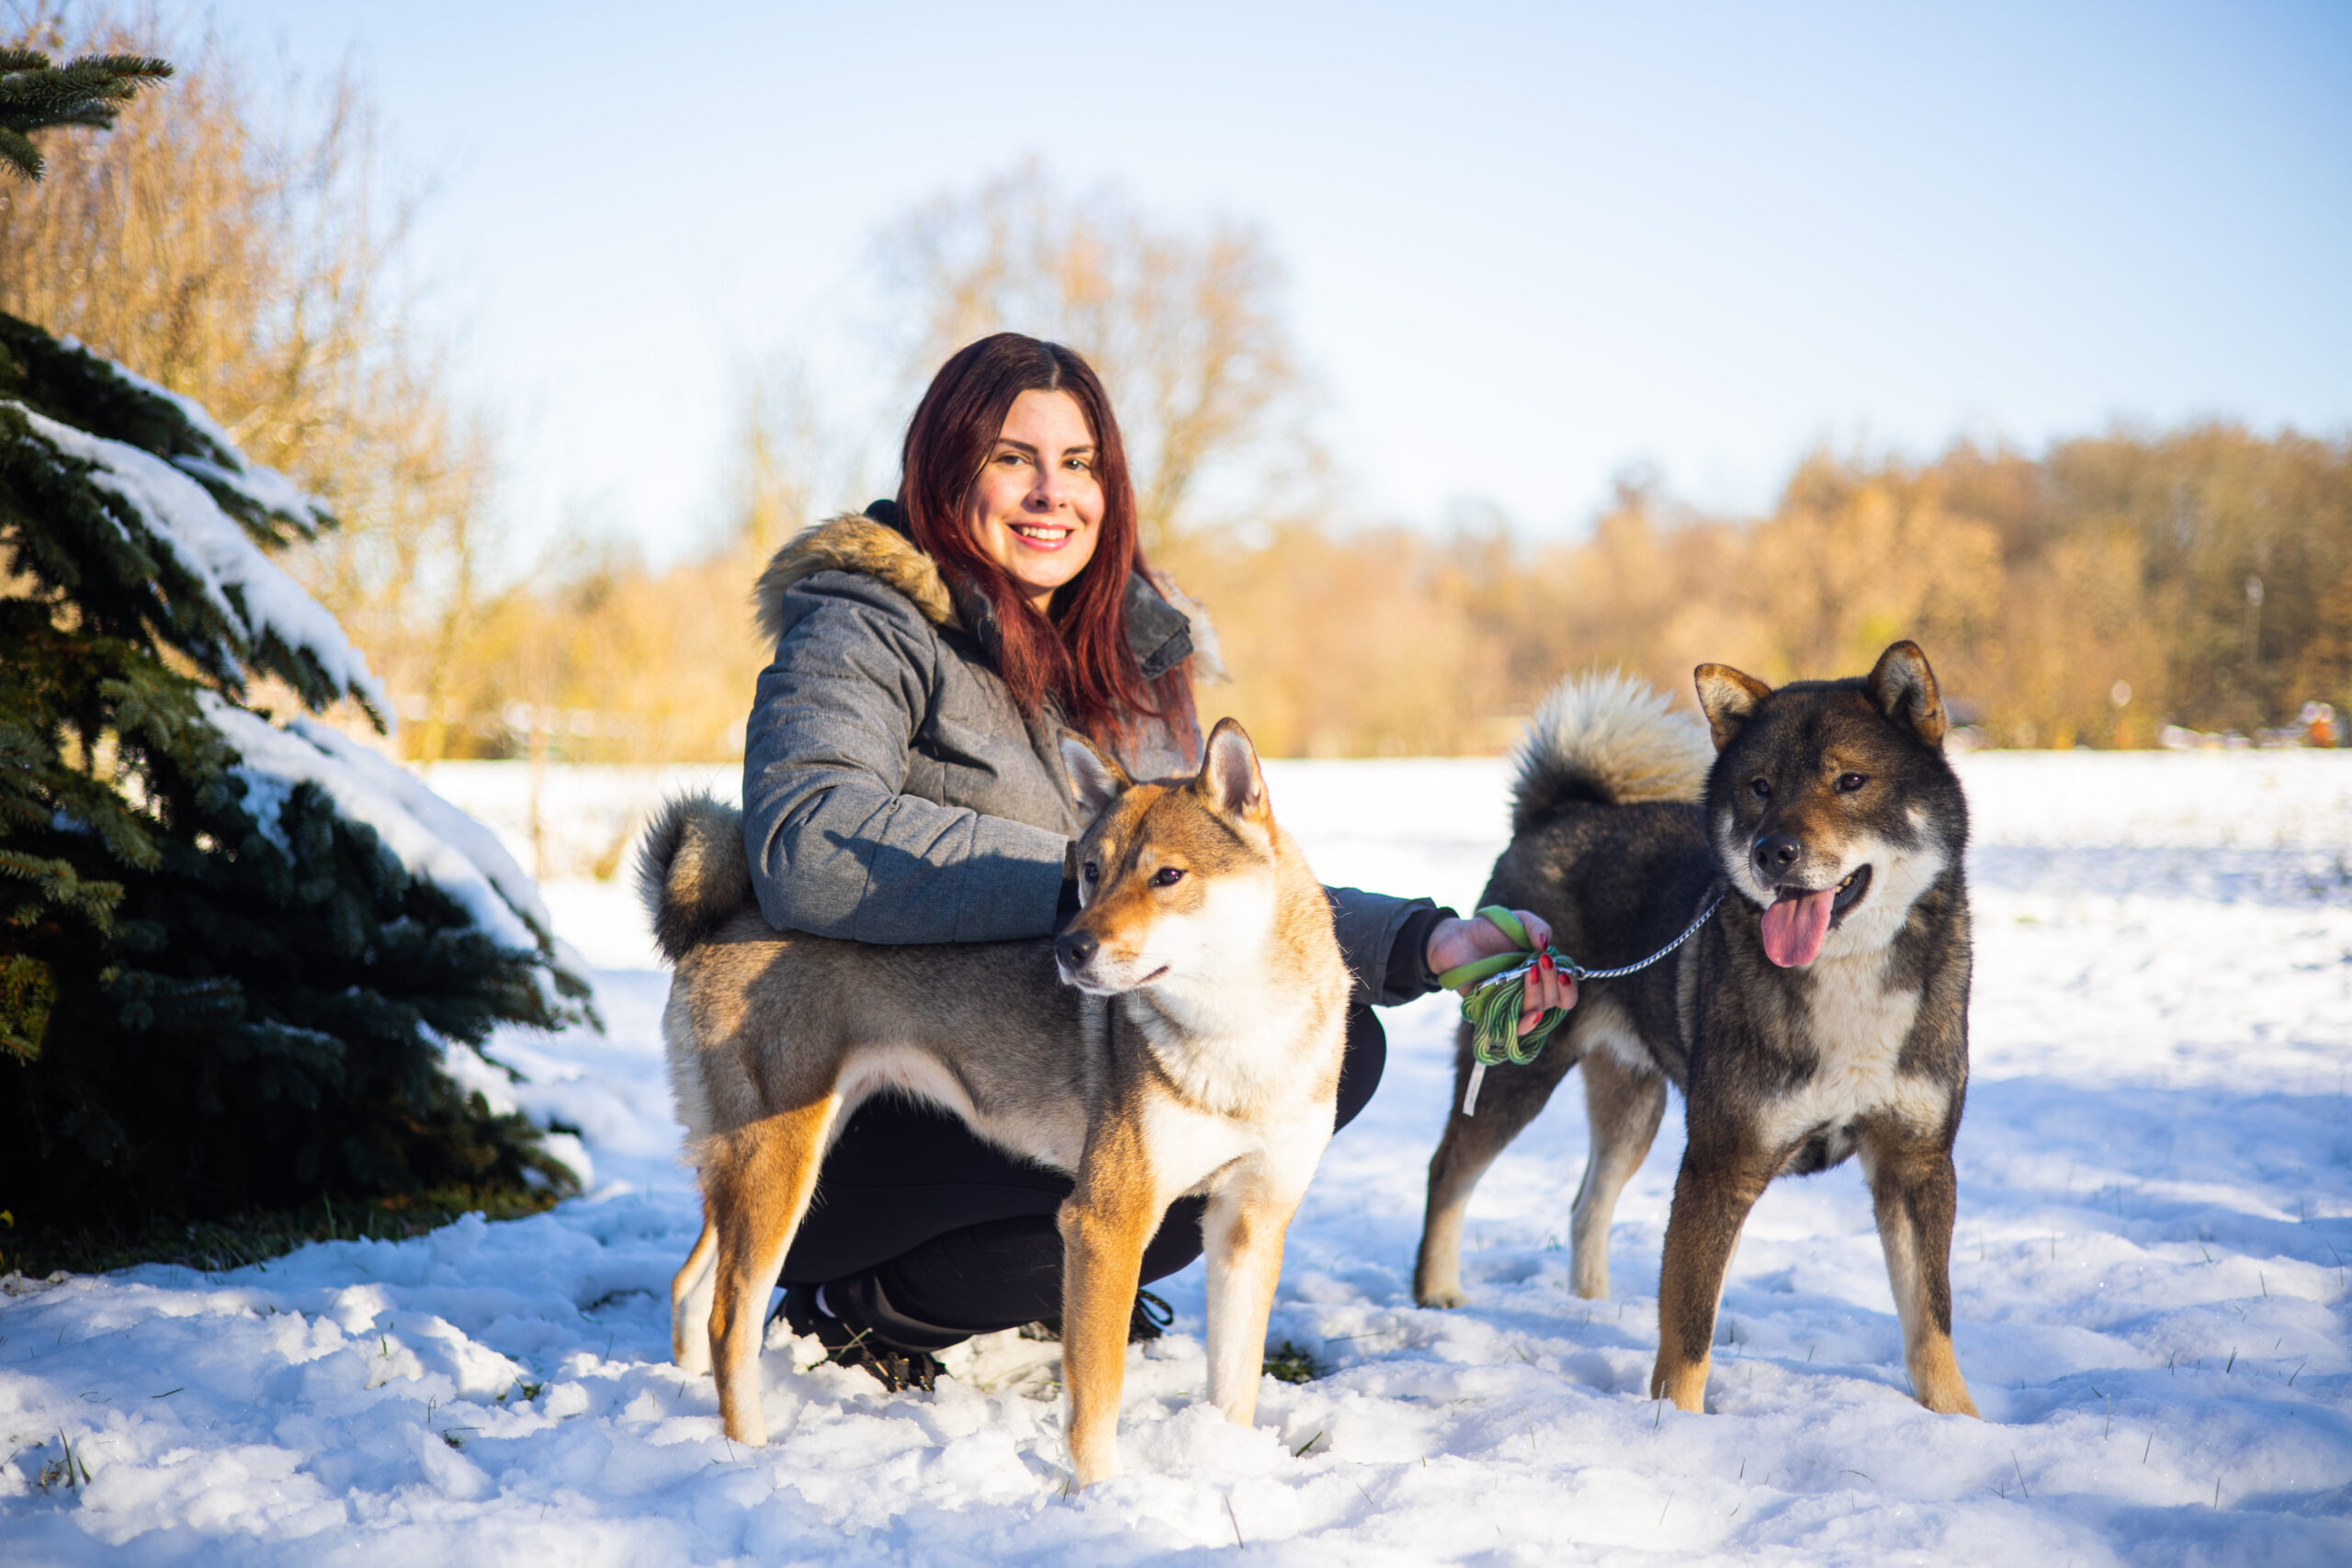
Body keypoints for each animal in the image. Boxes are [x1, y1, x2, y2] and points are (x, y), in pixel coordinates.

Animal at [635, 719, 1354, 1485]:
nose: (1070, 948)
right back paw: (749, 1454)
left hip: (771, 1161)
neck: (1239, 1036)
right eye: (1090, 870)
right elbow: (1096, 1404)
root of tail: (718, 918)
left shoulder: (1249, 1220)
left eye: (1167, 875)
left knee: (690, 1287)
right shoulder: (1106, 1222)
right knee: (728, 1319)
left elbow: (1234, 1387)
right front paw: (1100, 1496)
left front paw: (1228, 1467)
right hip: (782, 1167)